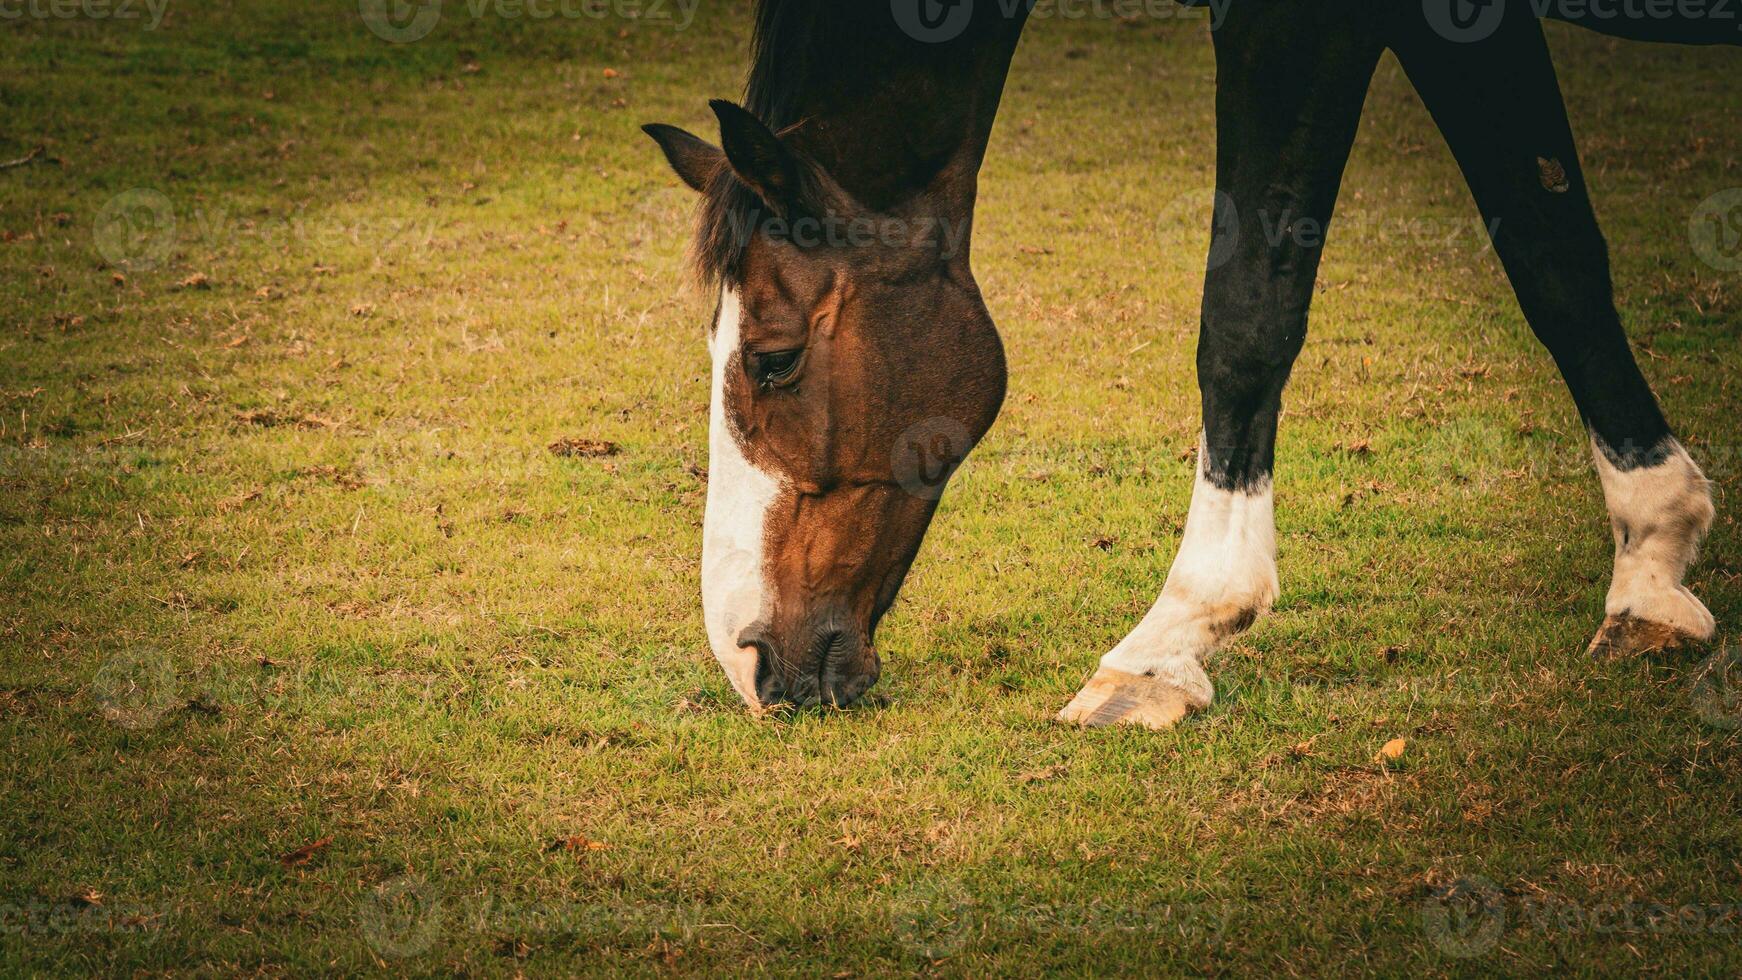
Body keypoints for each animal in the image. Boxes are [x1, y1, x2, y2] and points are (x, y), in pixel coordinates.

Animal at [648, 0, 1735, 720]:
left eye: (774, 359)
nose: (747, 661)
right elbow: (1553, 260)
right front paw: (1650, 562)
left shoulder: (1303, 26)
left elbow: (1247, 312)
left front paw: (1170, 638)